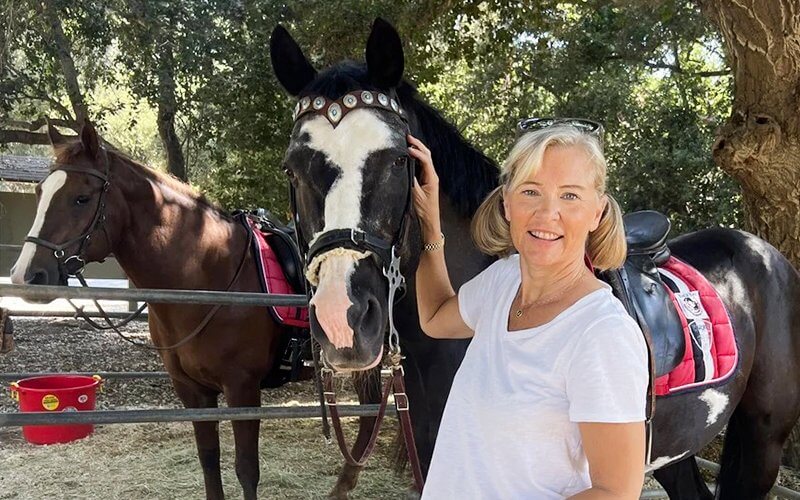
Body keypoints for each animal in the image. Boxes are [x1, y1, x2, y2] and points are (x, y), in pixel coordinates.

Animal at [9, 123, 387, 500]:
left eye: (81, 198)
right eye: (40, 192)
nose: (26, 276)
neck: (209, 274)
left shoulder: (242, 390)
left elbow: (247, 469)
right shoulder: (193, 391)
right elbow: (208, 459)